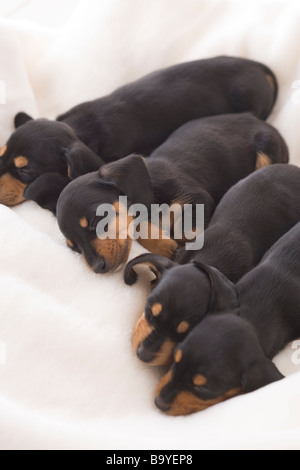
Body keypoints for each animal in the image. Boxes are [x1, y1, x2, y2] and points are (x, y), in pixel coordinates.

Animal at [55, 114, 288, 274]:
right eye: (74, 248)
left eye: (96, 221)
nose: (97, 268)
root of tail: (262, 122)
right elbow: (138, 225)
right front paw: (163, 244)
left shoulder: (197, 198)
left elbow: (188, 229)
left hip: (266, 149)